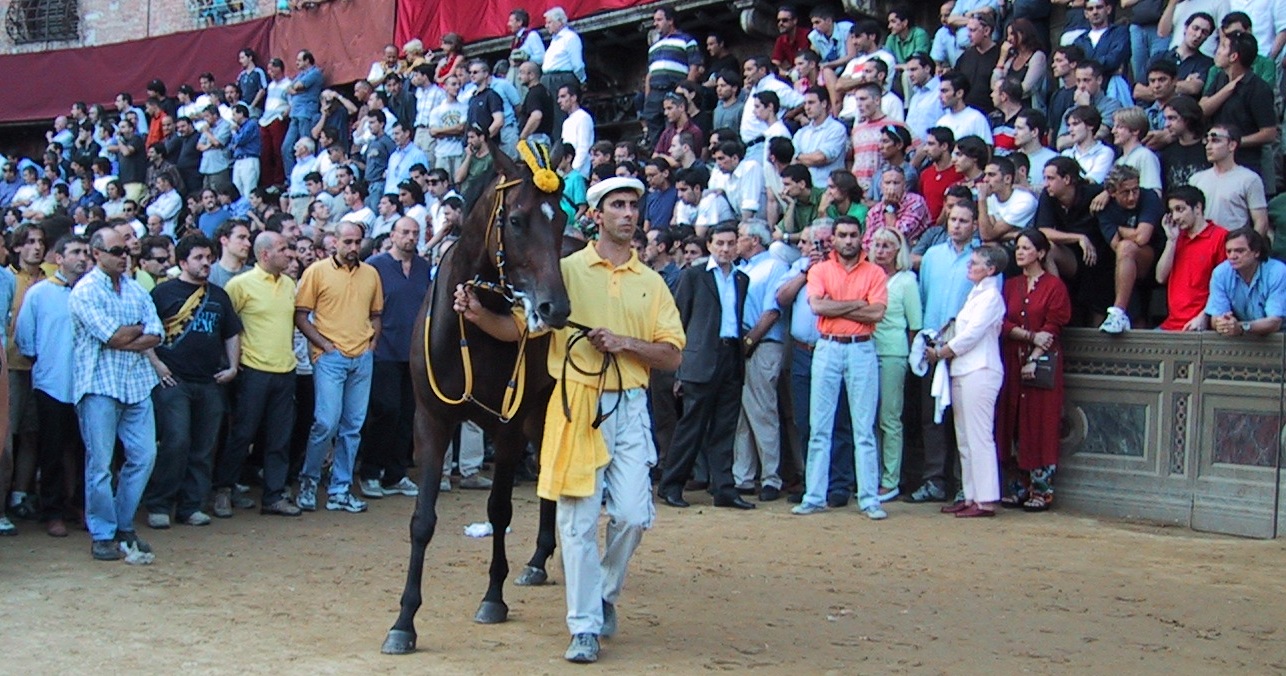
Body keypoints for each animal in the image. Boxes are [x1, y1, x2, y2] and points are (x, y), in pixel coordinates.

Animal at [375, 142, 568, 658]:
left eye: (561, 216)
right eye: (516, 219)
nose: (555, 308)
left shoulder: (507, 423)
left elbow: (499, 511)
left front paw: (492, 598)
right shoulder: (431, 420)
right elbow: (422, 521)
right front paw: (403, 621)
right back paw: (538, 558)